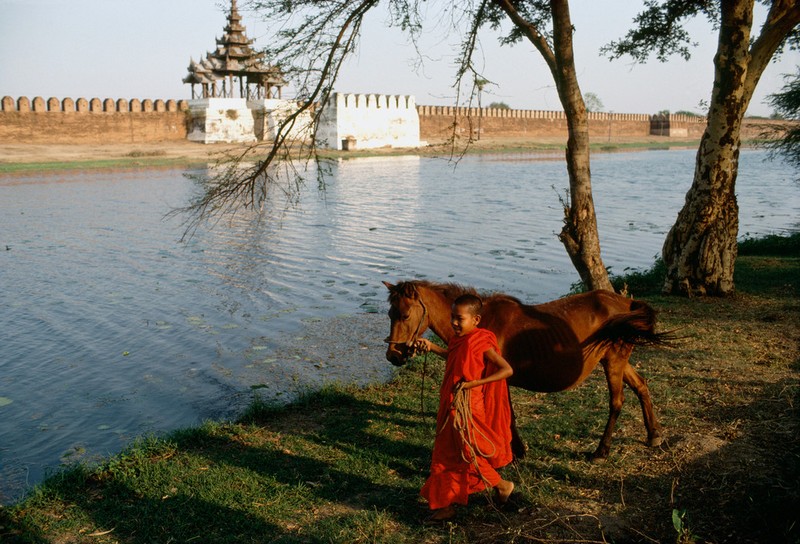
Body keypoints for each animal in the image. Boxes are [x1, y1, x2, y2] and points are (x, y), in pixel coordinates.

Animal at [382, 280, 668, 464]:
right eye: (389, 314)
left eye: (405, 315)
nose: (393, 355)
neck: (481, 322)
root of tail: (627, 302)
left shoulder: (497, 376)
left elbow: (504, 415)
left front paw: (515, 450)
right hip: (617, 361)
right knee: (641, 385)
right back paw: (654, 434)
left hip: (614, 361)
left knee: (617, 401)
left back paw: (601, 451)